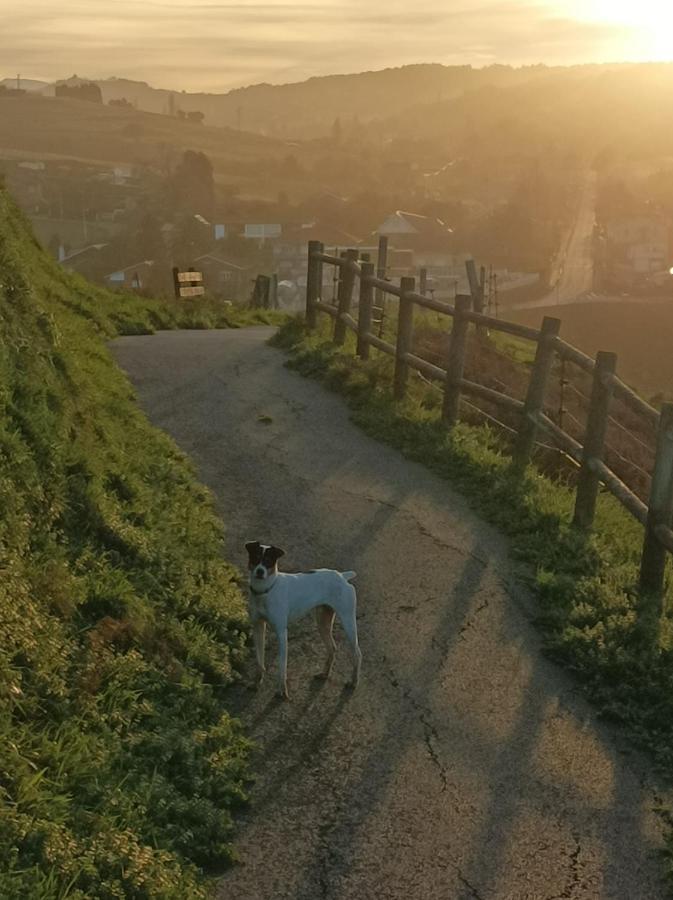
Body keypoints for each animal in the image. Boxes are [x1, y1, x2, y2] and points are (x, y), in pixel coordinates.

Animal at [247, 540, 362, 696]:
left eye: (269, 561)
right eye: (255, 557)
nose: (260, 571)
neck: (266, 590)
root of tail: (342, 576)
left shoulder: (281, 633)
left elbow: (282, 667)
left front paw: (282, 691)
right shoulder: (258, 628)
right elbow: (259, 661)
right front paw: (256, 683)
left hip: (348, 621)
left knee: (357, 654)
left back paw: (353, 682)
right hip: (323, 622)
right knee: (332, 648)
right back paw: (324, 674)